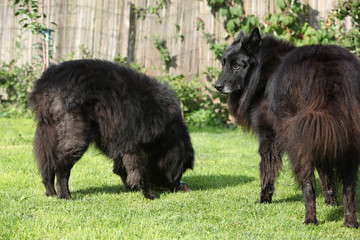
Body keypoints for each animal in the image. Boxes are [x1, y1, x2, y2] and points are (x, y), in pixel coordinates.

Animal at [28, 59, 194, 200]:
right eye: (181, 171)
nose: (181, 185)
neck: (168, 131)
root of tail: (49, 80)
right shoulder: (137, 145)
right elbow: (141, 171)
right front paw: (149, 194)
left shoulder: (123, 144)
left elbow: (122, 168)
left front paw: (132, 185)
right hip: (76, 136)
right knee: (61, 167)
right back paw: (64, 195)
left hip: (48, 132)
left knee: (47, 164)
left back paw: (51, 192)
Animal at [215, 27, 360, 227]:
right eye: (224, 63)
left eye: (237, 66)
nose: (217, 86)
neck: (263, 71)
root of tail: (328, 69)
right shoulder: (322, 135)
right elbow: (326, 175)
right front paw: (331, 202)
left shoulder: (268, 136)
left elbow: (266, 171)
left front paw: (264, 199)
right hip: (346, 138)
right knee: (349, 187)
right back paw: (350, 222)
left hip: (300, 140)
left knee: (308, 186)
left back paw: (310, 220)